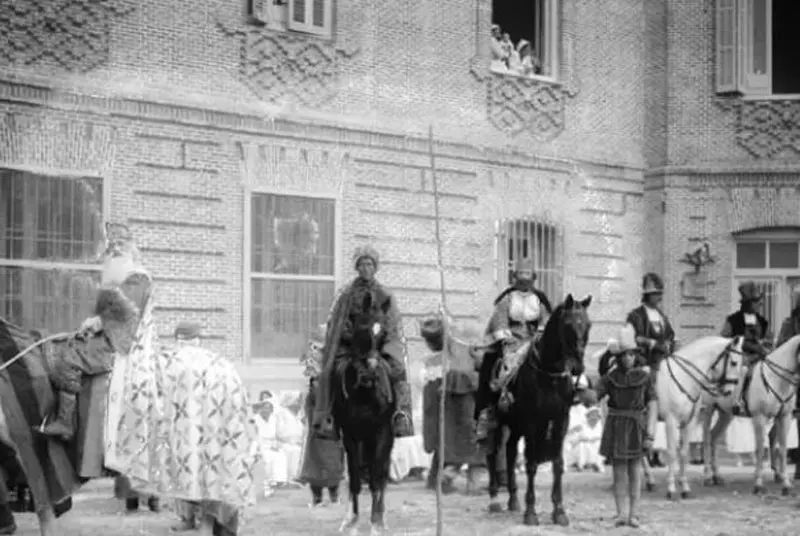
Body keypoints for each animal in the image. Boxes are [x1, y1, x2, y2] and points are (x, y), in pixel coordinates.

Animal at [332, 294, 396, 536]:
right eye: (361, 327)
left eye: (384, 332)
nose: (369, 374)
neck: (364, 394)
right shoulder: (350, 436)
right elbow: (355, 479)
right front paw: (351, 521)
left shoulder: (382, 433)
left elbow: (377, 478)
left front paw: (376, 523)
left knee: (382, 473)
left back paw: (382, 517)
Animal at [482, 292, 588, 524]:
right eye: (568, 324)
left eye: (588, 324)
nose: (578, 367)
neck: (549, 373)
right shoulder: (533, 421)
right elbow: (531, 464)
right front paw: (530, 512)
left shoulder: (560, 420)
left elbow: (558, 463)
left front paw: (559, 511)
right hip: (495, 419)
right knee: (493, 453)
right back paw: (494, 500)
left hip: (515, 425)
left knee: (511, 453)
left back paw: (513, 499)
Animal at [648, 338, 748, 500]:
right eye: (733, 362)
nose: (729, 392)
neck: (684, 377)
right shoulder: (671, 421)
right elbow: (672, 453)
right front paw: (671, 489)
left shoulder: (689, 422)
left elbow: (683, 453)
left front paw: (684, 487)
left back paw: (649, 481)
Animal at [700, 332, 800, 496]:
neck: (776, 379)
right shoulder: (760, 417)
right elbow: (759, 448)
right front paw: (758, 484)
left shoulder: (784, 417)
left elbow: (783, 448)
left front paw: (785, 483)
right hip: (708, 409)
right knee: (706, 438)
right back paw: (707, 476)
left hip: (726, 413)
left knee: (713, 436)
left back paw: (717, 476)